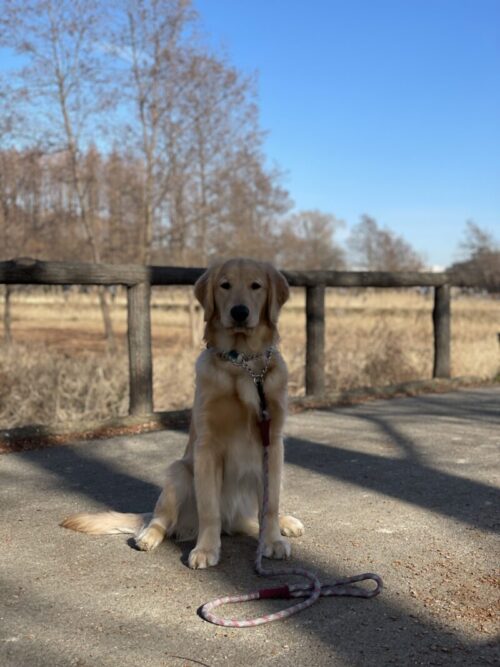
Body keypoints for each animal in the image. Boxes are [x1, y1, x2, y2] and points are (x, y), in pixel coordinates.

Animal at [62, 260, 304, 568]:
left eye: (256, 286)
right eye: (225, 285)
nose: (239, 312)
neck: (242, 364)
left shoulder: (272, 444)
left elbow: (270, 506)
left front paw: (273, 540)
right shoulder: (207, 447)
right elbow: (209, 509)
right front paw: (206, 549)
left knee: (255, 516)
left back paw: (286, 522)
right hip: (179, 472)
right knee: (160, 519)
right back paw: (148, 536)